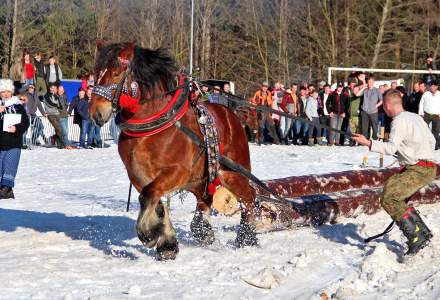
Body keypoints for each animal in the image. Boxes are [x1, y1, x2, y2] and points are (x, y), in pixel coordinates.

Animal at [90, 42, 260, 260]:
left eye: (117, 73)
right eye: (96, 73)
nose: (96, 112)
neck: (153, 127)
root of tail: (233, 115)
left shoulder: (177, 172)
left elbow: (148, 195)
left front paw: (148, 234)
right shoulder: (137, 175)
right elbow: (154, 201)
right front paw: (167, 243)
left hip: (232, 173)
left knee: (249, 198)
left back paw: (246, 238)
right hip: (201, 179)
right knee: (205, 201)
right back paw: (203, 231)